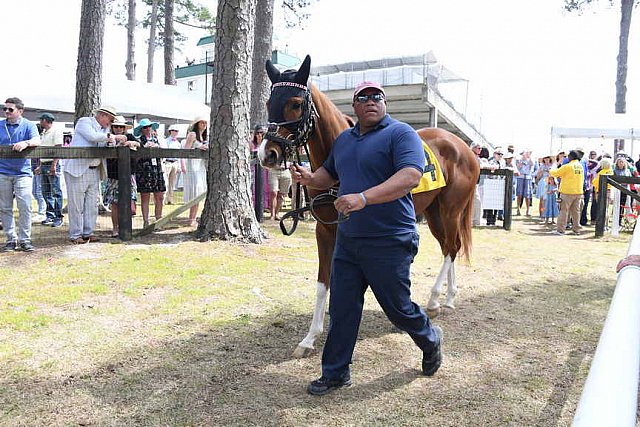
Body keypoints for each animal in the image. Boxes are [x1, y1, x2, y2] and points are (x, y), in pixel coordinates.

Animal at [258, 55, 478, 360]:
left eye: (296, 103)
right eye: (269, 103)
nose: (267, 154)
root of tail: (465, 147)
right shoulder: (325, 231)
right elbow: (323, 283)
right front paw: (310, 338)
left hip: (450, 209)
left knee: (452, 247)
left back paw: (435, 300)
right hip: (433, 213)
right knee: (450, 246)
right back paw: (448, 297)